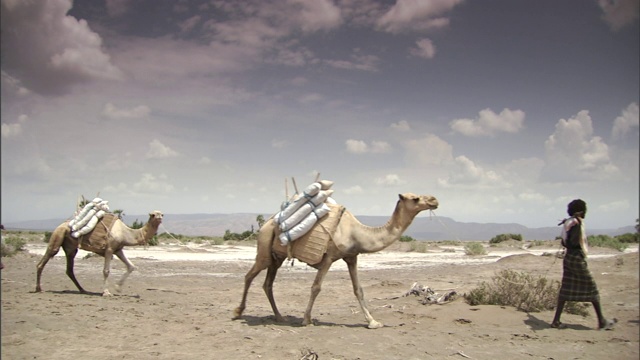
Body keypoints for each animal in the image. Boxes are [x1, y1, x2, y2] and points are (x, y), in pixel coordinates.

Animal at [35, 210, 164, 296]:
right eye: (153, 215)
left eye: (161, 214)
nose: (160, 217)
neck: (126, 232)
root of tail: (60, 225)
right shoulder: (109, 249)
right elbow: (106, 271)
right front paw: (106, 292)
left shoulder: (118, 249)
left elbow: (131, 266)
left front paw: (118, 288)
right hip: (58, 235)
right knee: (46, 258)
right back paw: (39, 289)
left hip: (70, 247)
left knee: (69, 269)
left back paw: (83, 290)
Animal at [232, 193, 438, 328]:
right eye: (415, 198)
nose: (434, 200)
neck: (356, 233)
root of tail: (268, 222)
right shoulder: (329, 257)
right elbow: (316, 287)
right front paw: (306, 319)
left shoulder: (351, 257)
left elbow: (358, 290)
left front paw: (373, 322)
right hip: (264, 249)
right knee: (249, 275)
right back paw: (238, 312)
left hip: (278, 257)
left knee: (267, 284)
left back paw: (280, 317)